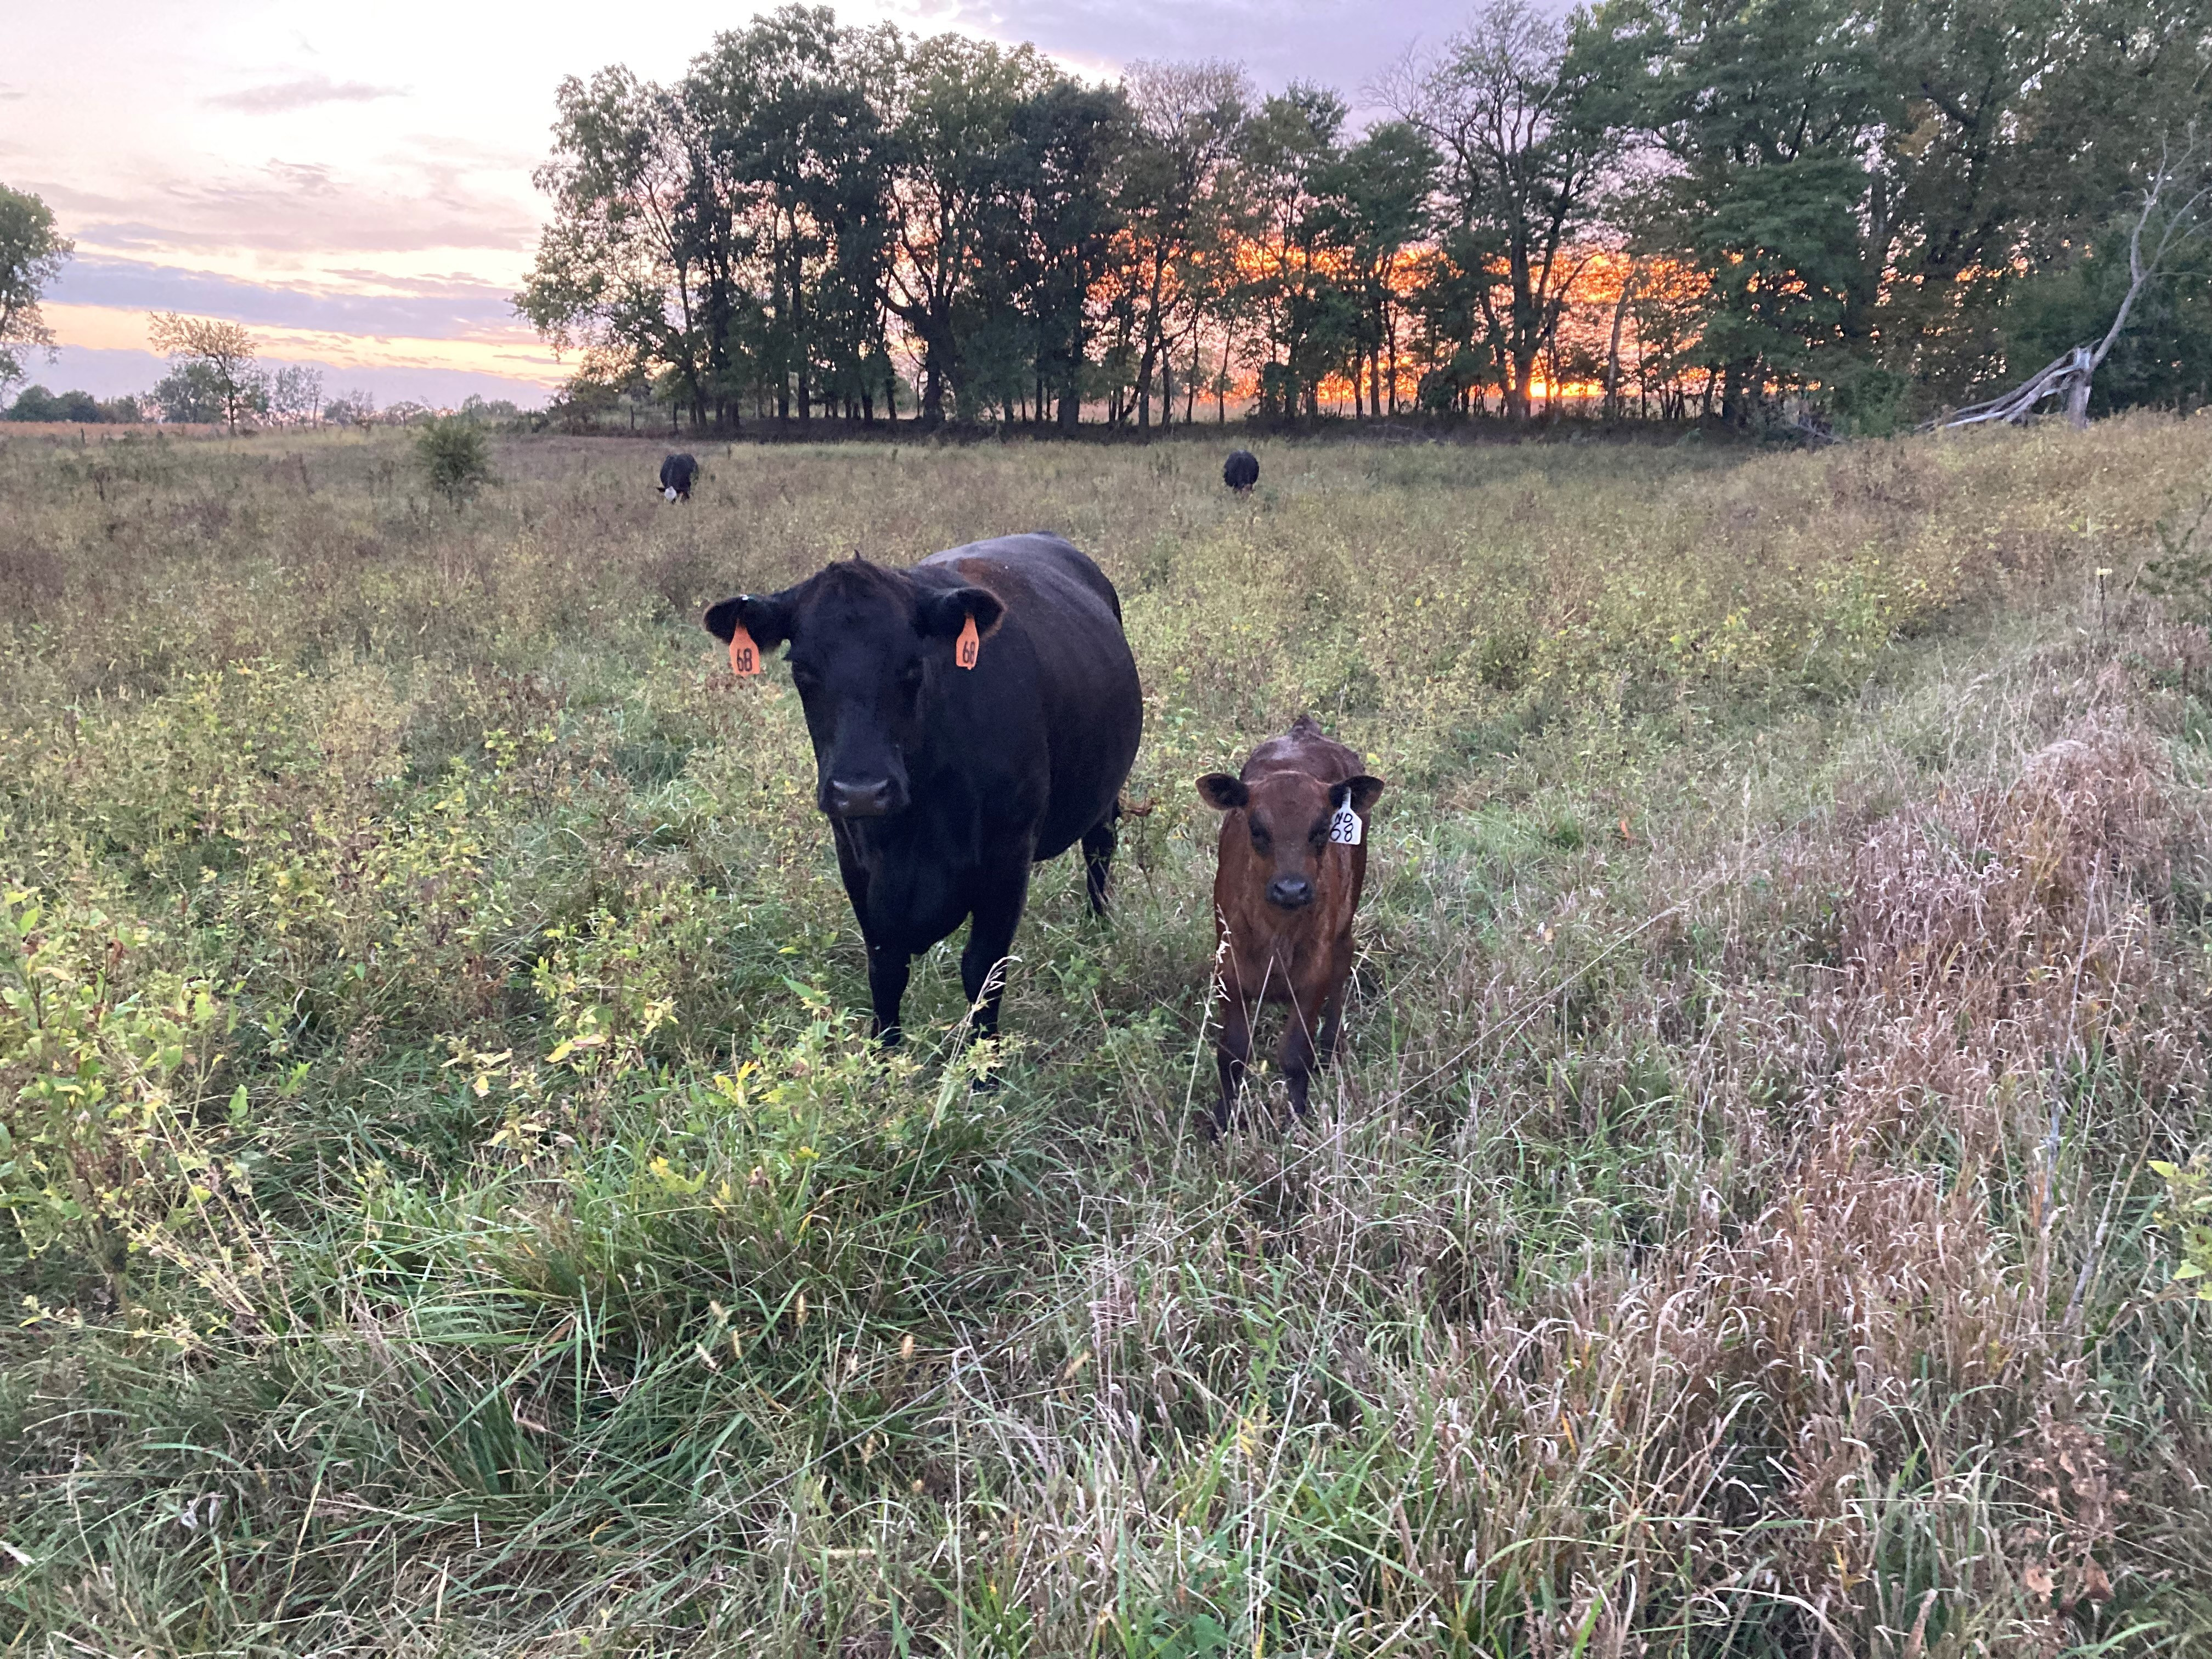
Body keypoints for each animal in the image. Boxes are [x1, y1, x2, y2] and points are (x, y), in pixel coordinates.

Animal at [704, 534, 1142, 1057]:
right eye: (803, 671)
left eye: (913, 665)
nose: (862, 792)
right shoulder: (854, 856)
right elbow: (885, 967)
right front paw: (884, 1056)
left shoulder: (1009, 853)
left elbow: (983, 971)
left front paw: (985, 1066)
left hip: (1104, 793)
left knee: (1100, 847)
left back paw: (1099, 926)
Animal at [1197, 716, 1384, 1129]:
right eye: (1255, 829)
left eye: (1322, 830)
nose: (1291, 889)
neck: (1276, 934)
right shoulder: (1228, 970)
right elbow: (1232, 1053)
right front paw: (1222, 1122)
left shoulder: (1313, 975)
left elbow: (1297, 1054)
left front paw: (1297, 1121)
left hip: (1346, 919)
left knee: (1344, 960)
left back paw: (1332, 1046)